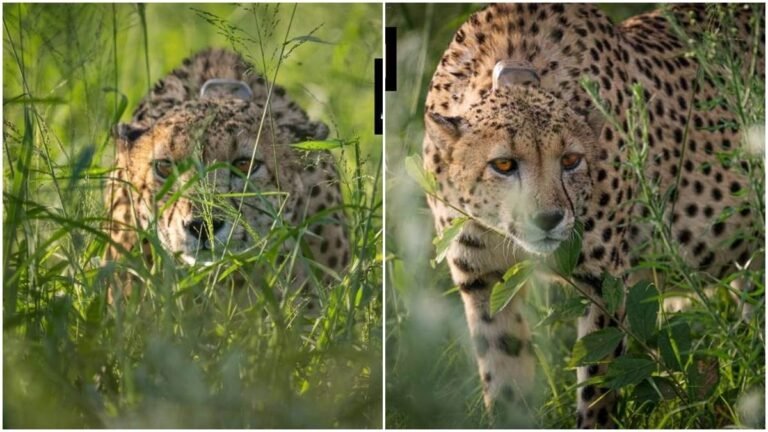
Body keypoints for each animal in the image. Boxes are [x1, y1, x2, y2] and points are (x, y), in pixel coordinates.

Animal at [422, 4, 763, 428]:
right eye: (503, 164)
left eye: (570, 160)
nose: (548, 219)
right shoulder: (483, 282)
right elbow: (504, 381)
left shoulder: (605, 282)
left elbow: (599, 385)